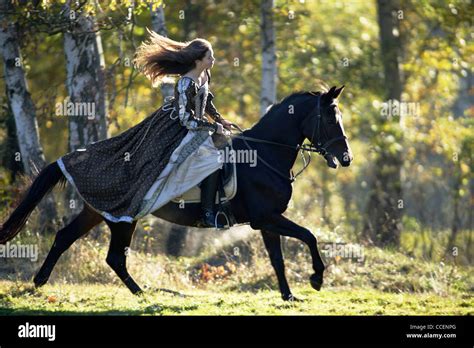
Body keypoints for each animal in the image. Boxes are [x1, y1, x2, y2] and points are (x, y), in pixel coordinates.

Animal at [0, 85, 350, 300]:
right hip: (123, 218)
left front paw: (290, 295)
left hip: (99, 212)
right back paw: (141, 293)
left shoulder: (266, 221)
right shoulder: (267, 217)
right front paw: (317, 279)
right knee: (114, 257)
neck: (264, 155)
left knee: (66, 238)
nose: (346, 158)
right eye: (330, 118)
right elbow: (309, 236)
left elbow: (277, 259)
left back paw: (41, 282)